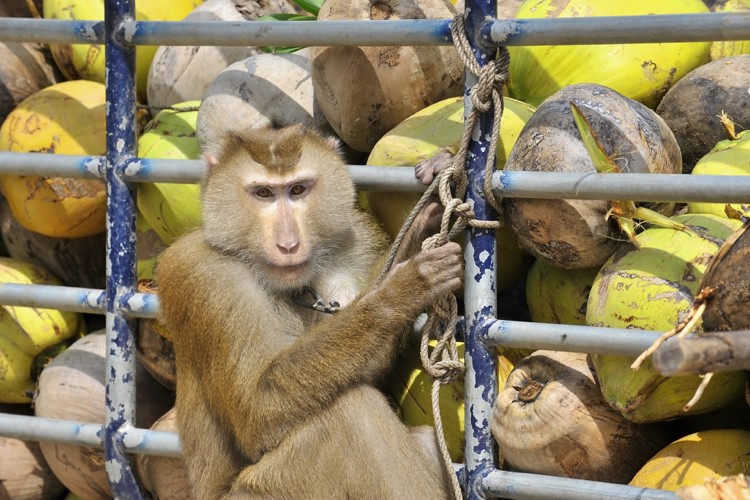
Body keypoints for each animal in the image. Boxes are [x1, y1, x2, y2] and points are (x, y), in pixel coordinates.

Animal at [154, 124, 464, 499]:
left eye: (298, 190)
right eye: (263, 193)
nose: (289, 245)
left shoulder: (351, 246)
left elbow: (365, 367)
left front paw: (428, 209)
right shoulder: (207, 280)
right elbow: (257, 412)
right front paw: (402, 289)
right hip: (268, 489)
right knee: (347, 412)